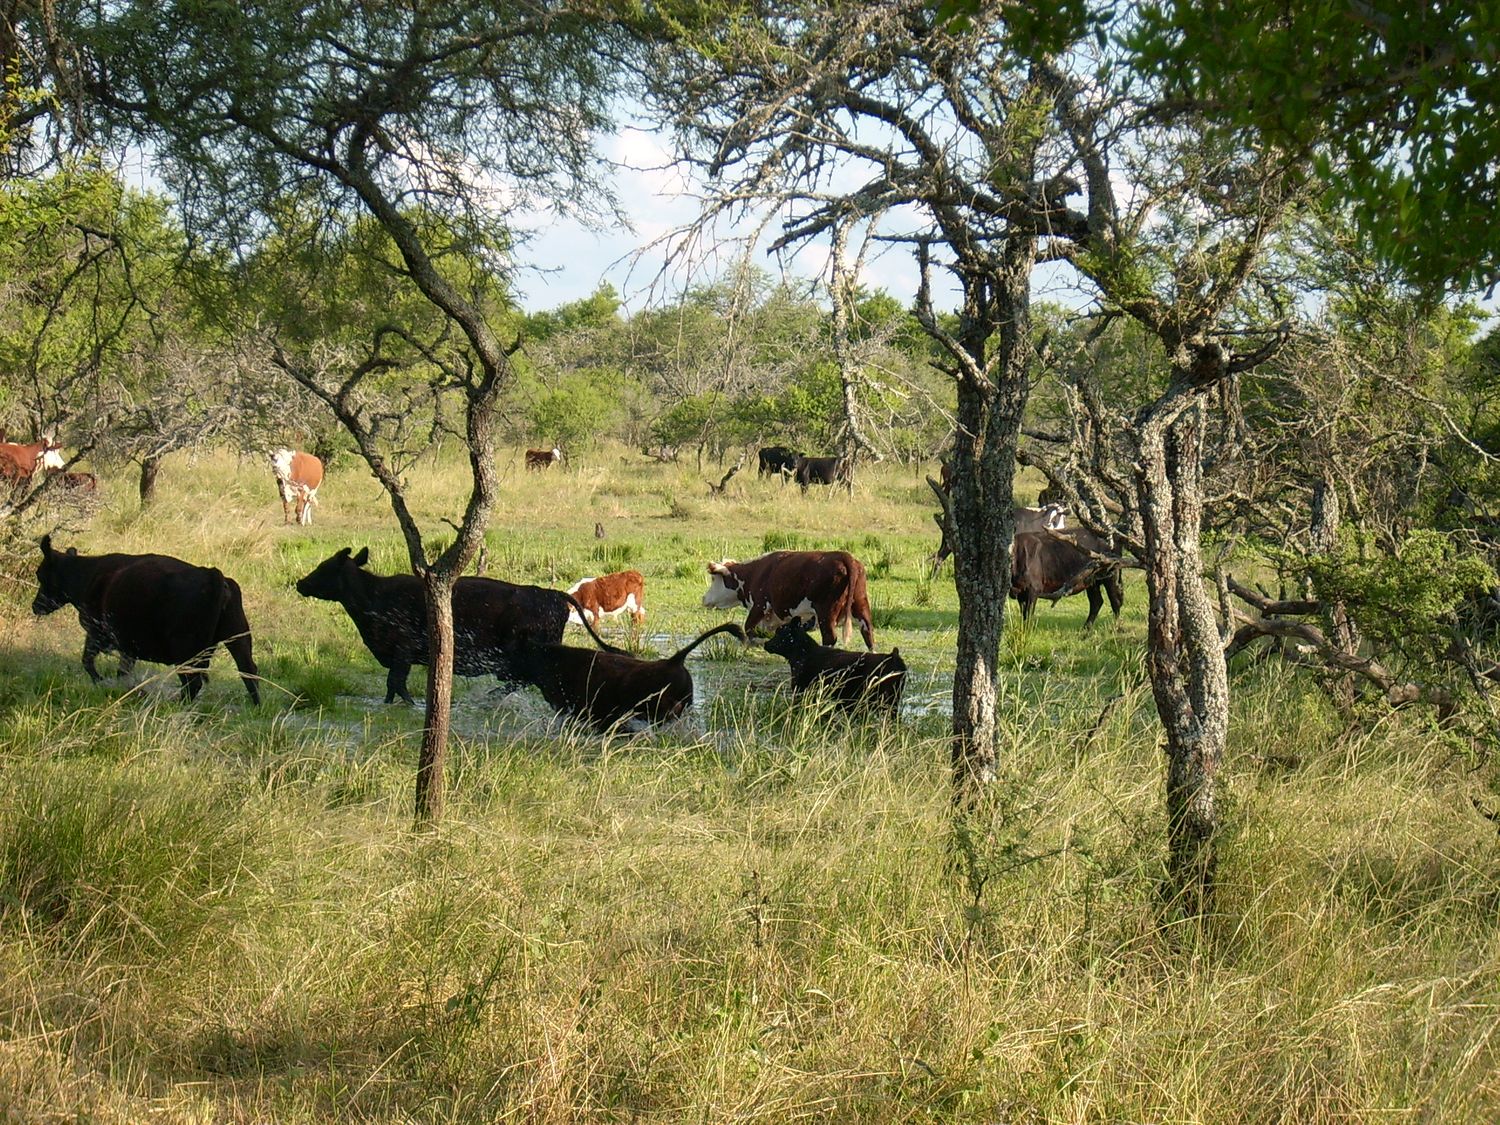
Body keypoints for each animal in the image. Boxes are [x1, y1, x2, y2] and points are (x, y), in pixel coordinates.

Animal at [30, 534, 259, 702]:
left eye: (40, 574)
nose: (35, 606)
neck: (88, 574)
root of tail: (212, 575)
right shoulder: (127, 646)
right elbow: (120, 671)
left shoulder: (97, 634)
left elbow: (88, 662)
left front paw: (102, 682)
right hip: (238, 640)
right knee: (248, 672)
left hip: (185, 652)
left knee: (192, 683)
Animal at [292, 549, 621, 705]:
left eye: (323, 567)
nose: (300, 583)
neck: (374, 596)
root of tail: (552, 594)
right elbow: (391, 684)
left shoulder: (402, 650)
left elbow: (397, 682)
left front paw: (410, 704)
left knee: (522, 680)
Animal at [702, 552, 876, 651]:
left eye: (713, 579)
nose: (704, 598)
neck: (754, 573)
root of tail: (845, 556)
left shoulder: (760, 604)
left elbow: (748, 627)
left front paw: (757, 641)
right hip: (860, 605)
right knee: (868, 633)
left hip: (826, 612)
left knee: (830, 638)